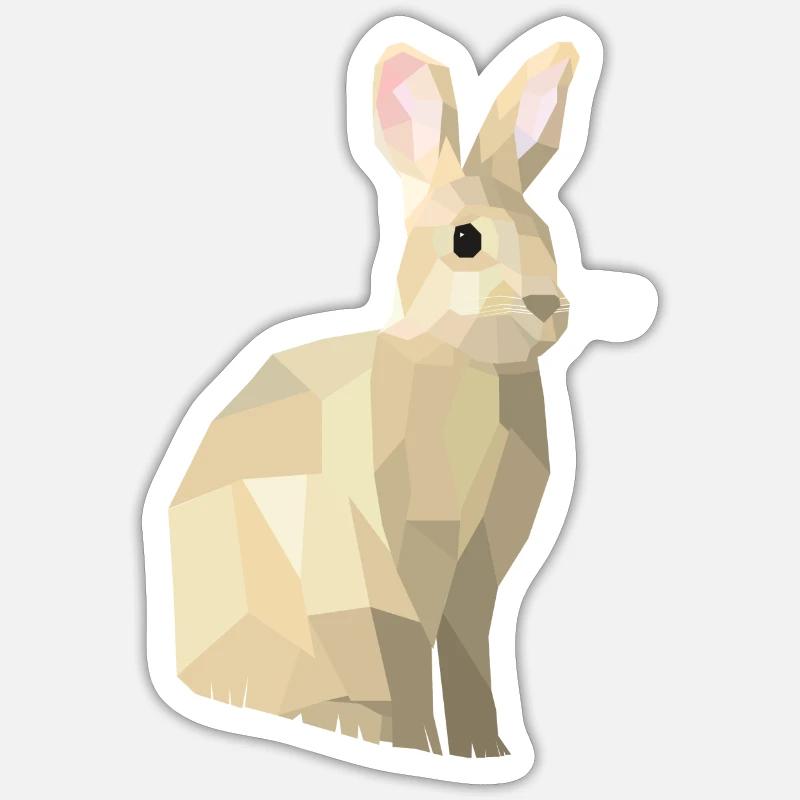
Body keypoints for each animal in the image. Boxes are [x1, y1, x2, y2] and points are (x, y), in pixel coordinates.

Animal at [168, 40, 578, 758]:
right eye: (466, 240)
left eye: (546, 235)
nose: (546, 305)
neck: (460, 363)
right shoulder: (398, 560)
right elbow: (407, 646)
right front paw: (417, 753)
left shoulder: (478, 575)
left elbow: (470, 651)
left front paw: (484, 753)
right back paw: (352, 726)